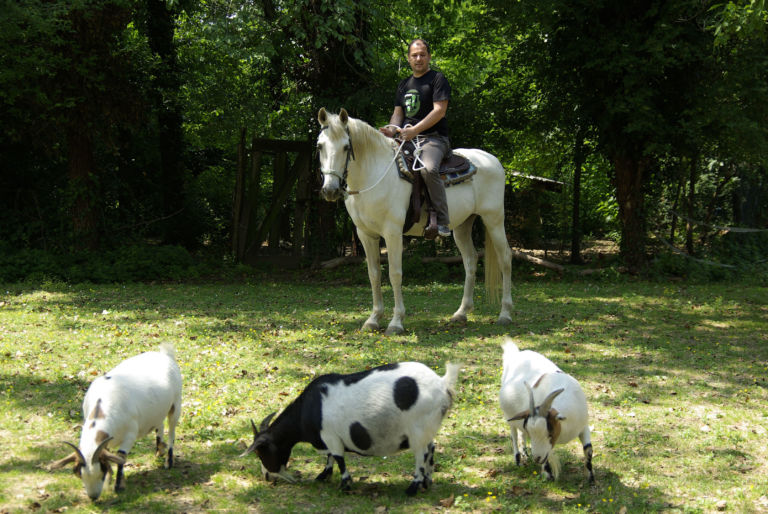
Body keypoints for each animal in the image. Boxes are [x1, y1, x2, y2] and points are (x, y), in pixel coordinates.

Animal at [51, 342, 183, 498]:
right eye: (80, 475)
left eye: (101, 472)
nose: (93, 497)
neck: (103, 405)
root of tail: (165, 354)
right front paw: (109, 482)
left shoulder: (130, 434)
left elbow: (121, 457)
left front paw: (119, 485)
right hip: (158, 410)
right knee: (160, 424)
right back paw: (159, 451)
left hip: (176, 403)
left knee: (172, 431)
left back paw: (169, 461)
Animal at [243, 358, 460, 494]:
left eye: (261, 452)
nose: (267, 477)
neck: (311, 407)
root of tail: (442, 383)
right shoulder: (329, 438)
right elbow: (330, 458)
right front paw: (323, 476)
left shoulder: (330, 436)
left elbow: (339, 458)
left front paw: (344, 485)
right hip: (427, 428)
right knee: (431, 449)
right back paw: (427, 482)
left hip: (418, 429)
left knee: (421, 454)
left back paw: (413, 488)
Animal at [316, 106, 512, 334]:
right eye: (319, 146)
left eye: (347, 147)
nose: (330, 190)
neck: (374, 174)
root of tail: (492, 160)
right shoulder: (365, 234)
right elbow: (374, 274)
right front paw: (373, 319)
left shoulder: (392, 232)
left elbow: (395, 274)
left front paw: (396, 322)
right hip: (462, 225)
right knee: (470, 261)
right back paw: (461, 313)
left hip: (494, 219)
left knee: (505, 258)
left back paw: (505, 314)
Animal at [498, 338, 592, 482]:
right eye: (533, 433)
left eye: (550, 432)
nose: (537, 458)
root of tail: (515, 354)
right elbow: (546, 458)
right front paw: (548, 475)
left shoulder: (583, 426)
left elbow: (588, 449)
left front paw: (590, 477)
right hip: (509, 416)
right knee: (513, 434)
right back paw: (518, 460)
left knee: (520, 434)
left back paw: (525, 454)